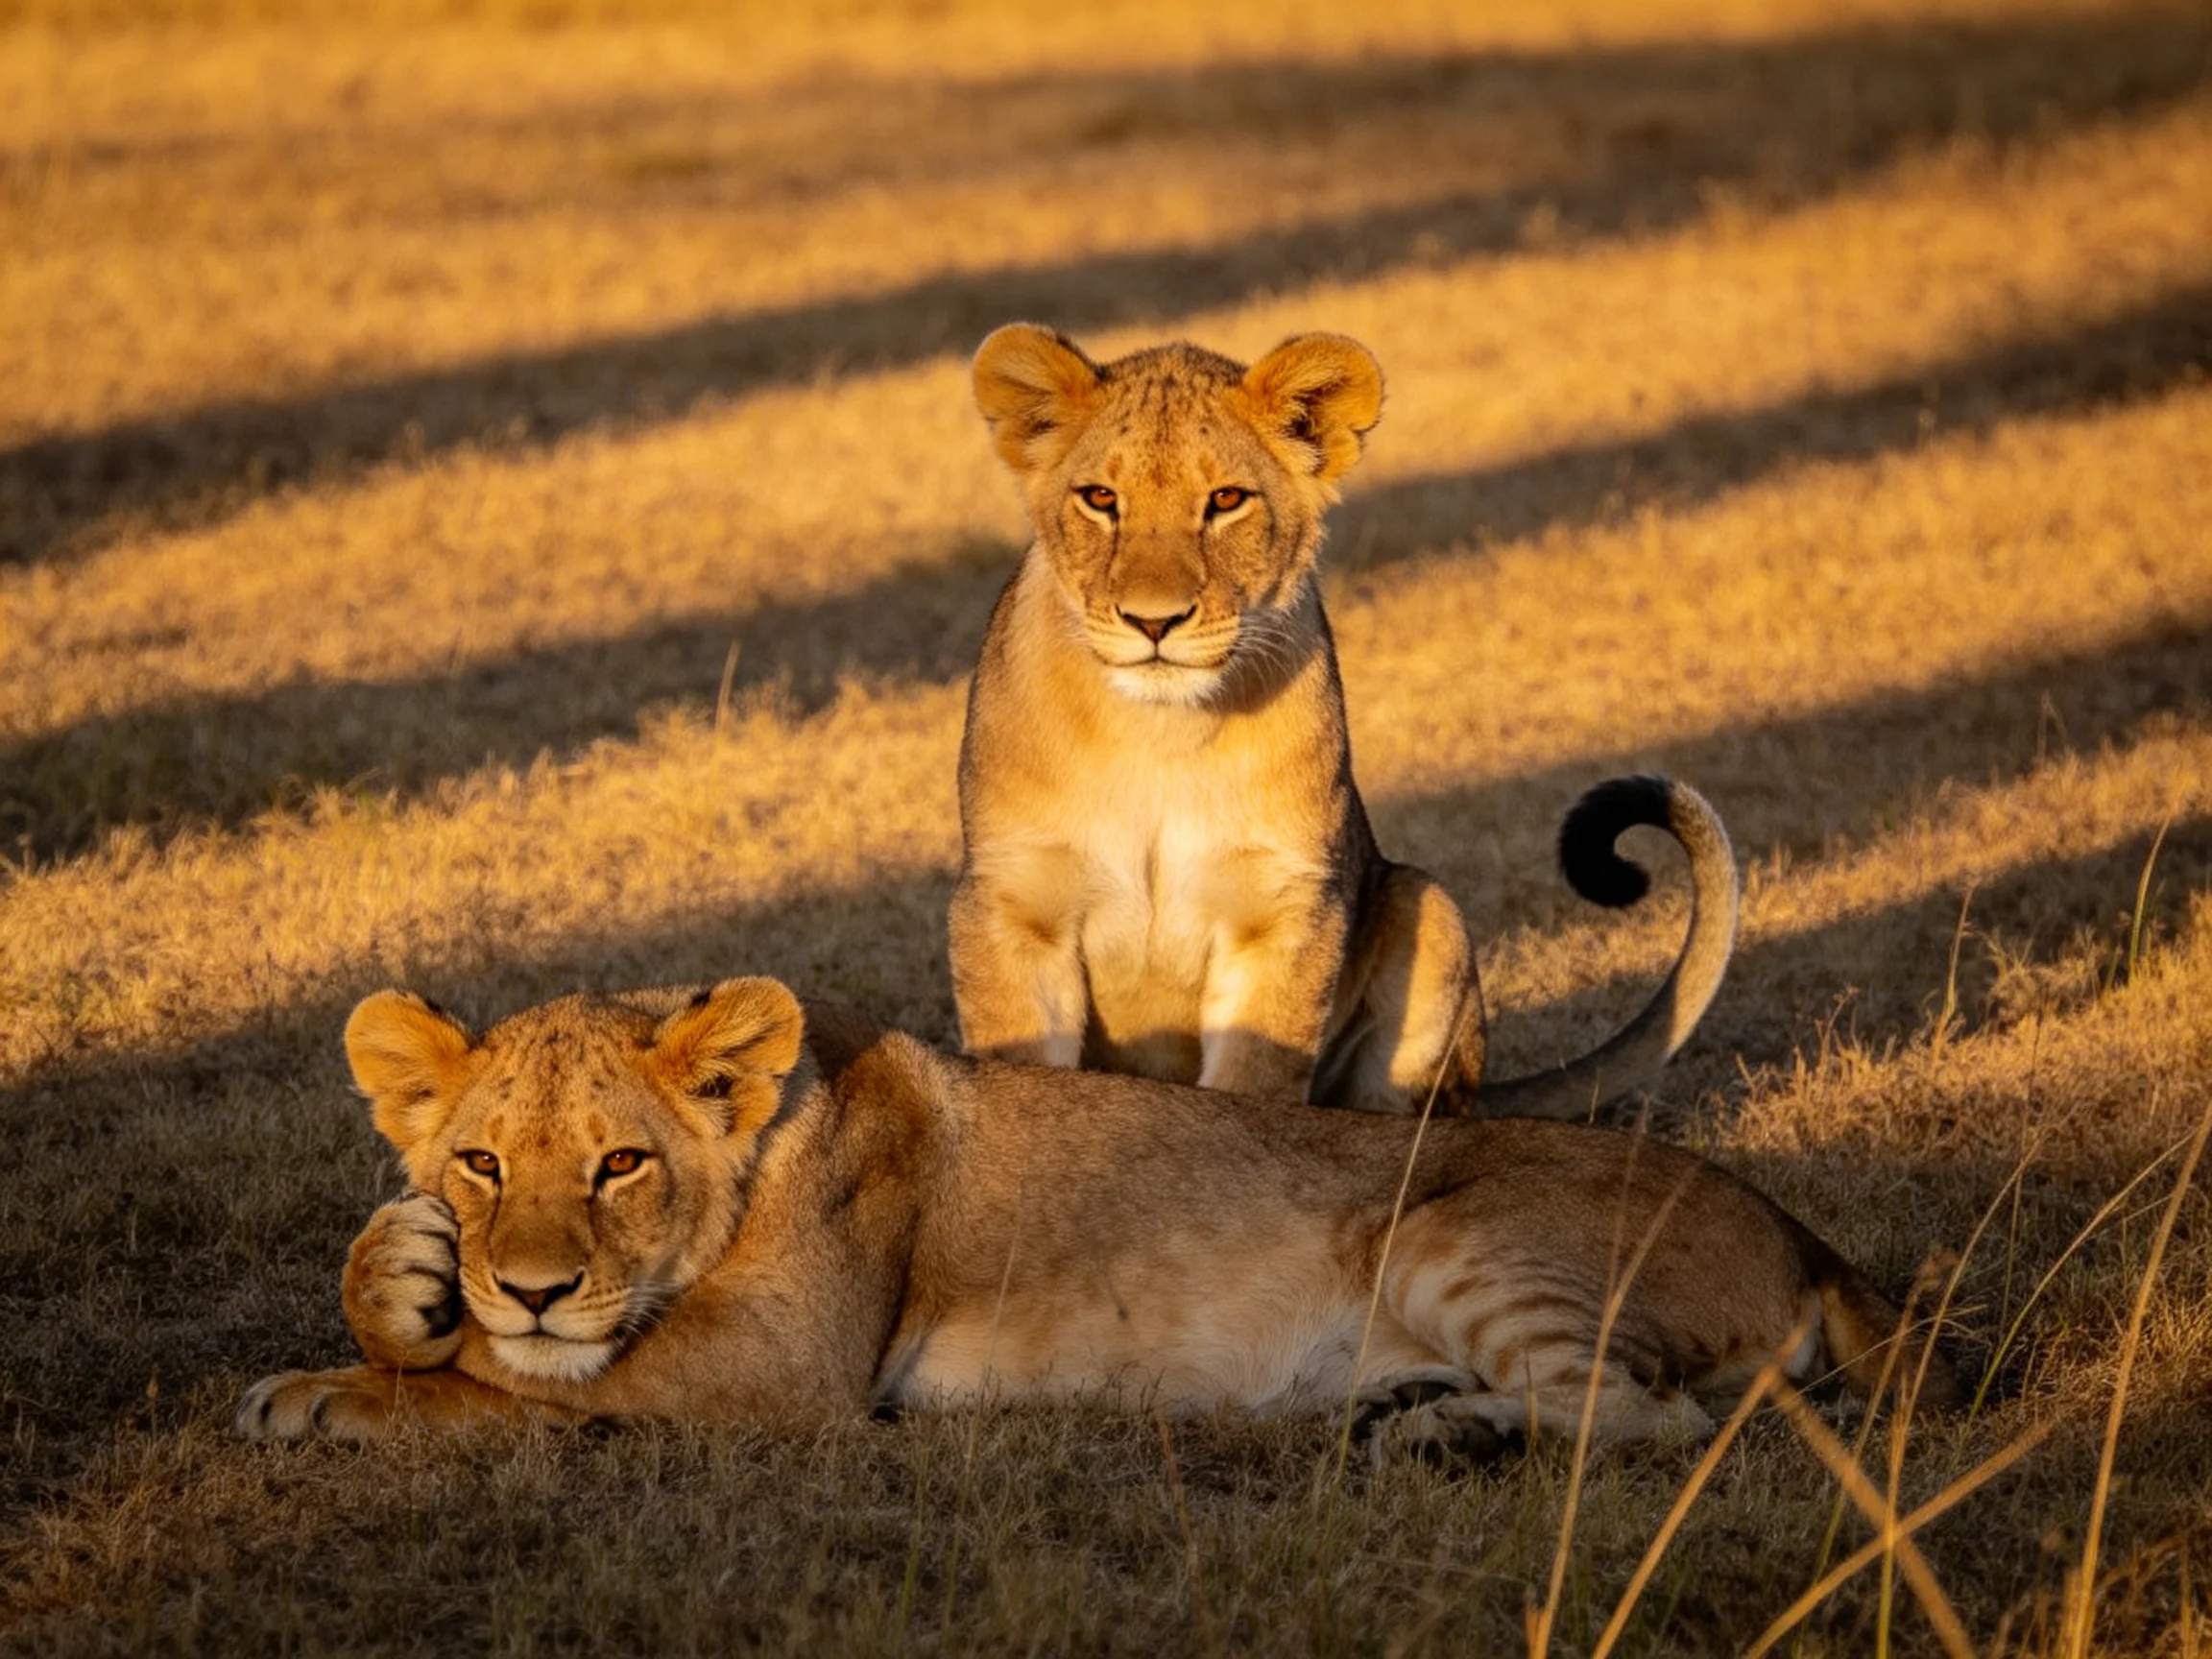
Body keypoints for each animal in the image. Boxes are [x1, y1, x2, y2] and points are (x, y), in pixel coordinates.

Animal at [237, 980, 1953, 1453]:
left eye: (617, 1168)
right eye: (480, 1164)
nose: (528, 1284)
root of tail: (1816, 1239)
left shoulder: (789, 1370)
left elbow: (504, 1392)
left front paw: (324, 1390)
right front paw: (399, 1284)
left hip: (1448, 1230)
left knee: (1662, 1418)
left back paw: (1438, 1435)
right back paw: (1408, 1411)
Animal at [951, 323, 1739, 1118]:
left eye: (1226, 500)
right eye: (1100, 498)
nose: (1154, 621)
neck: (1160, 733)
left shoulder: (1284, 912)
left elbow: (1255, 1091)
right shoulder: (1013, 906)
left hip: (1430, 909)